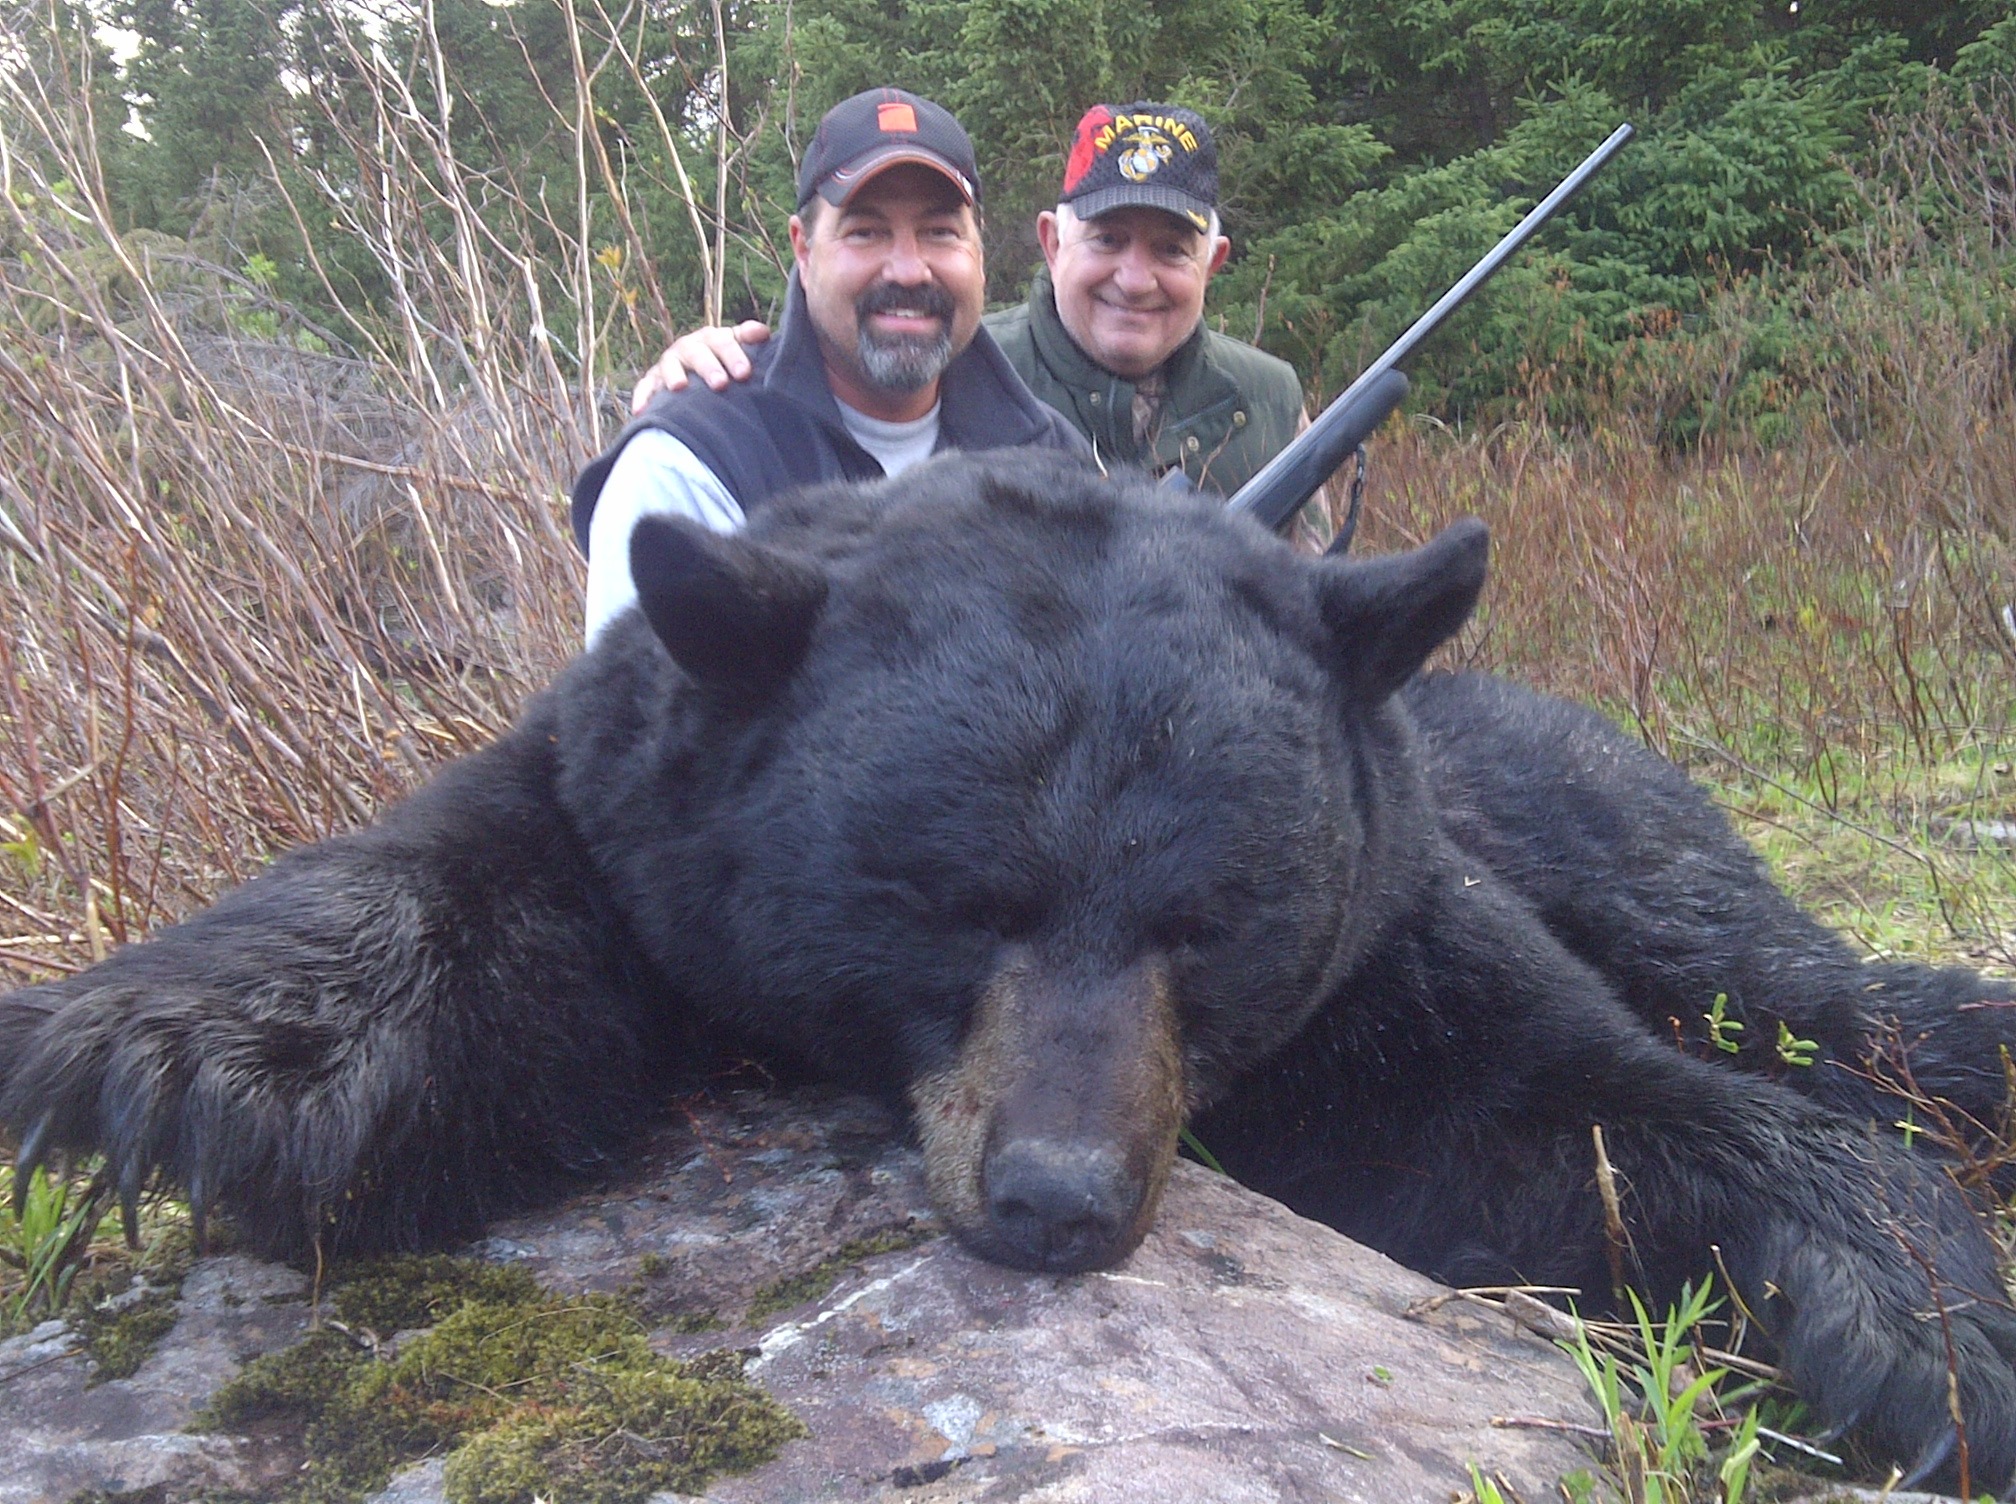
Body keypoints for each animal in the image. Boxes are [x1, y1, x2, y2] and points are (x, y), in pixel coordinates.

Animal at [2, 449, 2013, 1492]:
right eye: (949, 900)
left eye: (1209, 922)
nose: (1058, 1196)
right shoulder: (642, 784)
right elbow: (497, 875)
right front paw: (185, 1052)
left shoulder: (1395, 932)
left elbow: (1567, 1102)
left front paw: (1924, 1325)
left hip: (1601, 820)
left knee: (1793, 988)